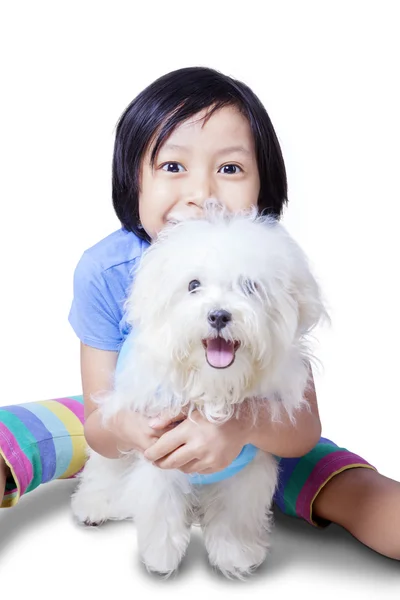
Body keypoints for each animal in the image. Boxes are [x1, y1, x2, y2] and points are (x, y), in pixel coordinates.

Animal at [71, 204, 328, 580]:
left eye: (250, 286)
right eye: (193, 285)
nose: (219, 315)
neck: (213, 388)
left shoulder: (247, 466)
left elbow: (236, 514)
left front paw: (235, 555)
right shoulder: (159, 447)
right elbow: (161, 502)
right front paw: (161, 556)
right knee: (105, 468)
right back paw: (95, 505)